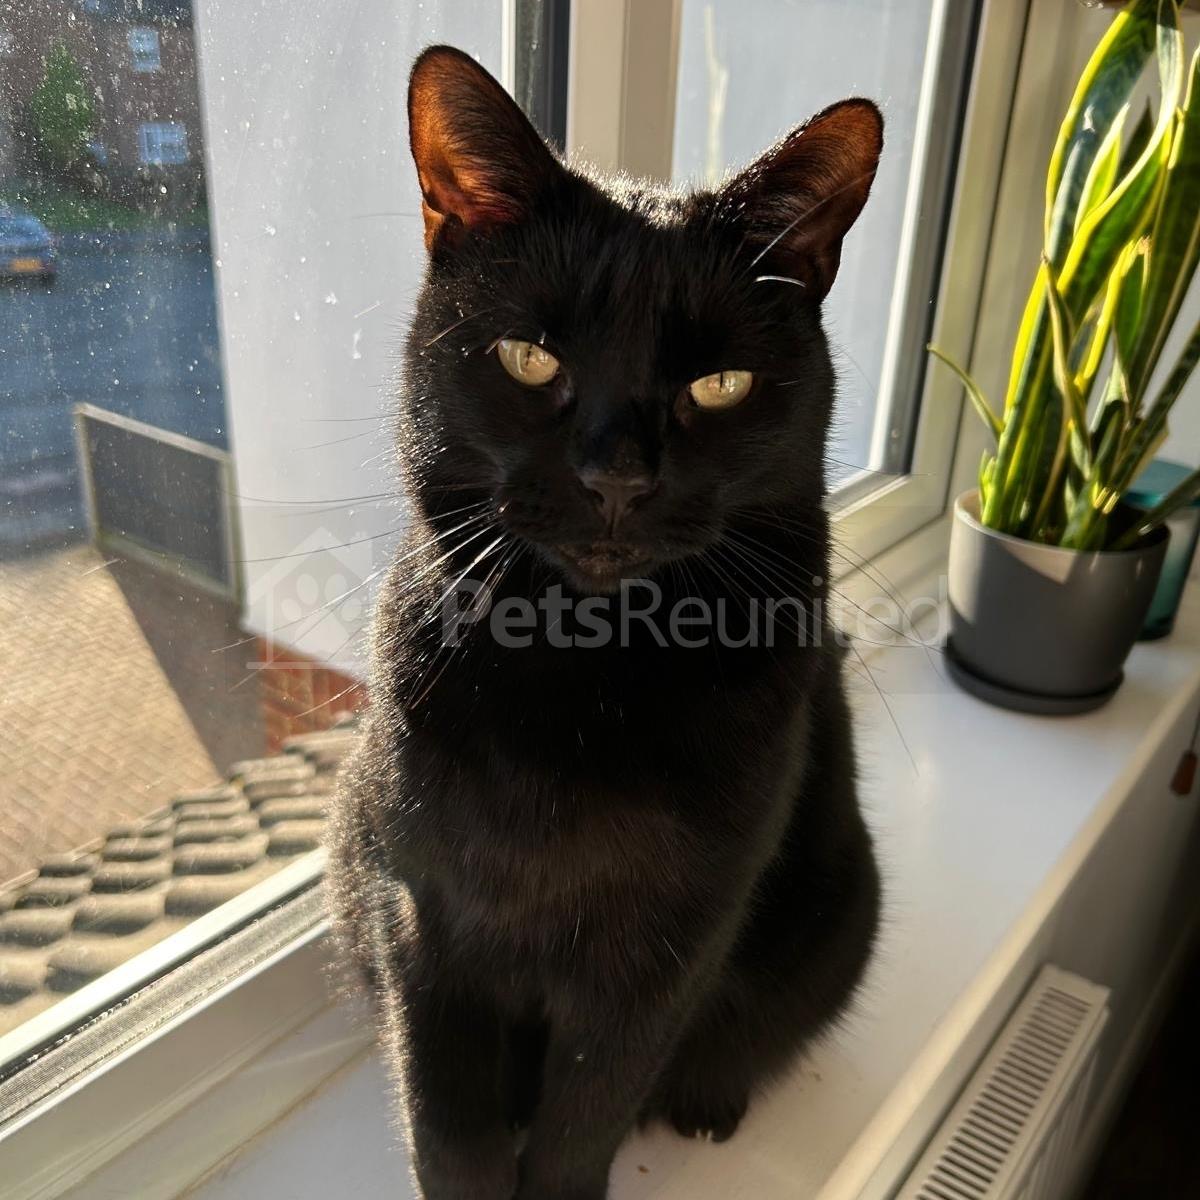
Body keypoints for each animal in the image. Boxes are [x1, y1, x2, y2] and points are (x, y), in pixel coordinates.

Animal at [329, 44, 883, 1200]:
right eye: (531, 358)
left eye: (720, 384)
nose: (616, 477)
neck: (581, 682)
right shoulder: (421, 921)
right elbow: (448, 1125)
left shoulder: (661, 960)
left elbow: (584, 1120)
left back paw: (709, 1101)